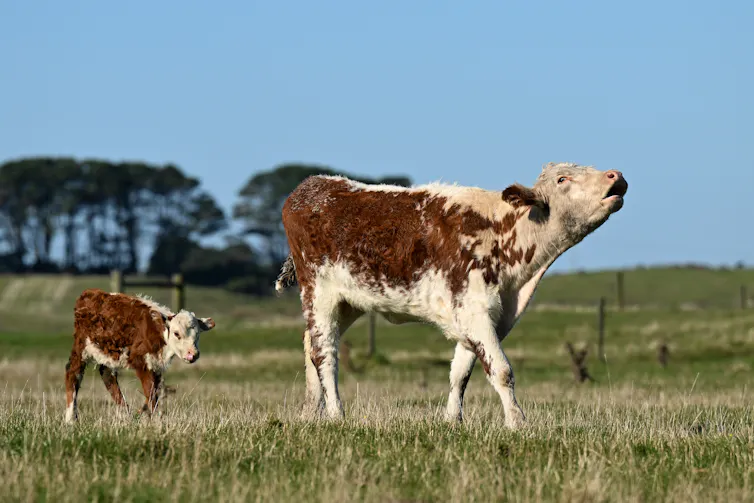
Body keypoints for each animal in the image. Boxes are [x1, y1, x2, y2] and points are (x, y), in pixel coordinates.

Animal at [64, 288, 216, 423]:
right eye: (176, 333)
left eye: (197, 334)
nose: (193, 354)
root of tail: (90, 293)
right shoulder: (141, 363)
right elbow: (150, 392)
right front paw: (152, 419)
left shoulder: (156, 367)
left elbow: (155, 392)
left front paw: (145, 415)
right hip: (81, 348)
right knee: (73, 374)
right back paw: (71, 419)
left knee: (107, 375)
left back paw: (125, 414)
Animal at [275, 162, 628, 428]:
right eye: (562, 179)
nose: (615, 175)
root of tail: (313, 185)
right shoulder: (474, 309)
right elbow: (501, 370)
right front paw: (517, 422)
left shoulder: (484, 316)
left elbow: (460, 372)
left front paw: (452, 420)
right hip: (319, 292)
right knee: (325, 352)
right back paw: (336, 414)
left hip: (349, 301)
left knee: (310, 345)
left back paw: (310, 412)